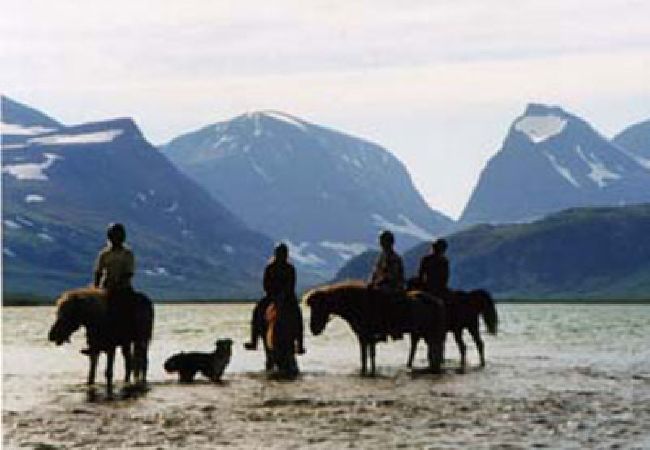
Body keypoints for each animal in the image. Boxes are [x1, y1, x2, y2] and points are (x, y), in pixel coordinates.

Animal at [304, 282, 446, 376]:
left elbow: (368, 355)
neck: (360, 304)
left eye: (319, 307)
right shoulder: (364, 337)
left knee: (435, 350)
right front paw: (366, 372)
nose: (313, 329)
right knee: (426, 349)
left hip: (430, 332)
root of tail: (437, 301)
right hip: (420, 333)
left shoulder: (367, 336)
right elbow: (366, 356)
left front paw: (368, 372)